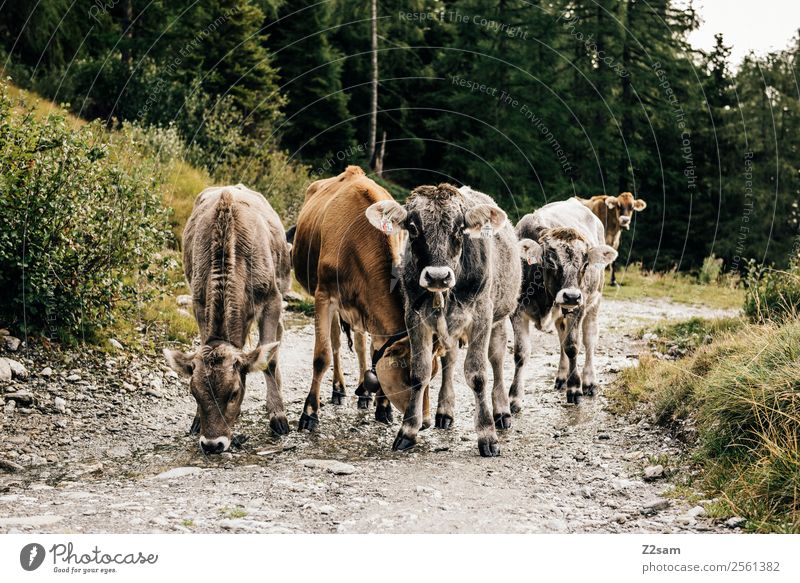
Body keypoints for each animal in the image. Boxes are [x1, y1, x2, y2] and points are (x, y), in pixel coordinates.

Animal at [162, 185, 290, 454]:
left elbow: (269, 358)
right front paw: (196, 421)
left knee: (278, 337)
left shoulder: (271, 298)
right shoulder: (198, 302)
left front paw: (278, 417)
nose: (212, 444)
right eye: (194, 393)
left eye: (233, 393)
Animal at [290, 167, 438, 432]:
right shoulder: (324, 295)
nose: (426, 422)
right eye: (410, 377)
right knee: (336, 344)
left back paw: (363, 394)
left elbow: (374, 351)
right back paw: (338, 390)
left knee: (359, 344)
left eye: (433, 375)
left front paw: (382, 406)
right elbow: (322, 356)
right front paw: (309, 413)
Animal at [366, 182, 520, 456]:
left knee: (497, 359)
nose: (438, 276)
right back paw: (445, 411)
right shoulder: (415, 318)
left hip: (499, 318)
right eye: (413, 228)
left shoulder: (481, 316)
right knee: (449, 361)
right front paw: (408, 431)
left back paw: (502, 411)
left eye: (459, 229)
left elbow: (478, 374)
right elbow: (420, 372)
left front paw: (487, 435)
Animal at [512, 198, 620, 408]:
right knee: (561, 336)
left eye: (585, 264)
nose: (571, 296)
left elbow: (572, 346)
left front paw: (575, 388)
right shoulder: (517, 311)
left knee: (589, 339)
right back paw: (562, 377)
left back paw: (589, 381)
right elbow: (521, 354)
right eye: (550, 262)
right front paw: (514, 398)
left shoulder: (578, 307)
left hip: (594, 301)